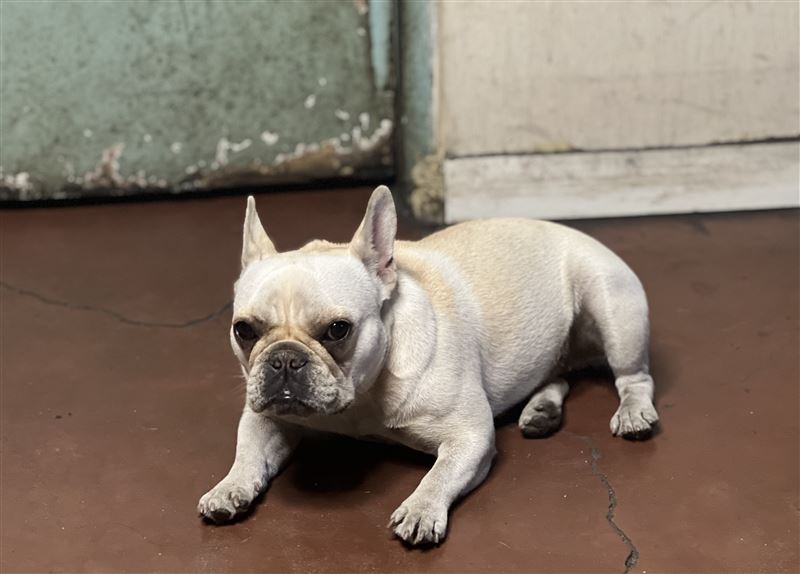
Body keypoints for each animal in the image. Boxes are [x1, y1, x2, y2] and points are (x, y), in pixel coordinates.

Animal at [198, 186, 659, 545]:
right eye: (244, 330)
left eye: (337, 330)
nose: (284, 359)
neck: (363, 396)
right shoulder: (268, 417)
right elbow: (248, 452)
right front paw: (230, 486)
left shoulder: (470, 435)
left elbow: (440, 473)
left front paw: (421, 509)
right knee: (556, 375)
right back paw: (542, 410)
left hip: (613, 310)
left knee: (634, 377)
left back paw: (633, 412)